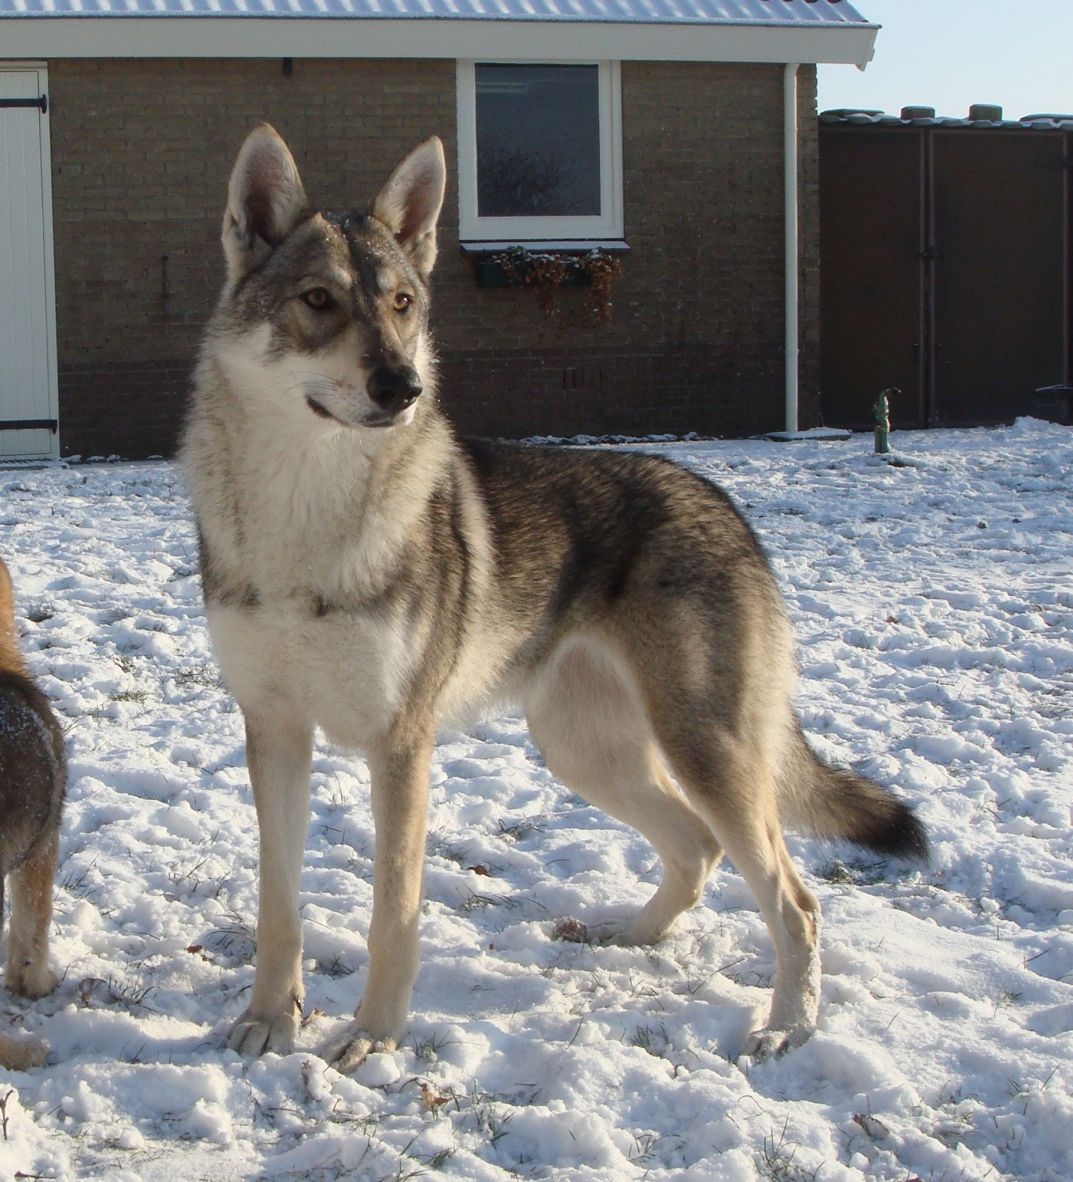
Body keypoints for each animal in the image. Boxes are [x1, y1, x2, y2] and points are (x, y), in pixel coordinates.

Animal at [180, 124, 926, 1077]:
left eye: (401, 305)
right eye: (318, 300)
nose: (402, 387)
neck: (303, 514)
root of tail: (721, 500)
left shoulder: (401, 747)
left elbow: (392, 916)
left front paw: (375, 1035)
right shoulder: (274, 731)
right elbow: (279, 907)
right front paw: (271, 1019)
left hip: (699, 752)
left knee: (792, 898)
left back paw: (786, 1026)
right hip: (583, 751)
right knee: (697, 848)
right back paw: (627, 935)